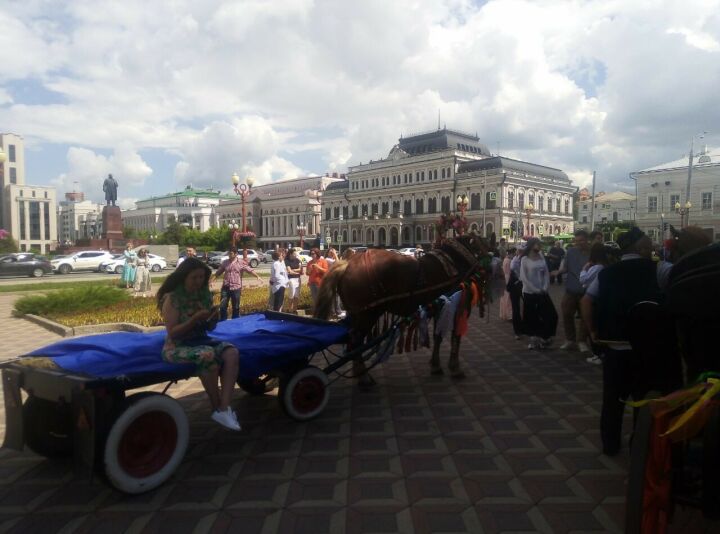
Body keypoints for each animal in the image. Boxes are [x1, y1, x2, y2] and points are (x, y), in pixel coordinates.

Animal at [314, 236, 490, 386]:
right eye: (482, 248)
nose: (484, 272)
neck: (456, 261)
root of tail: (347, 264)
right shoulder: (460, 306)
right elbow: (456, 336)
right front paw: (455, 368)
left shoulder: (441, 306)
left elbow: (438, 337)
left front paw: (436, 365)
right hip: (367, 315)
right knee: (354, 343)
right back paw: (364, 378)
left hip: (356, 314)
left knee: (352, 343)